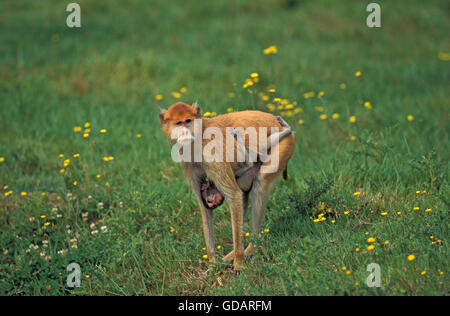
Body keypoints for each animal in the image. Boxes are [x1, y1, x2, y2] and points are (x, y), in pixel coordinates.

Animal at [159, 102, 296, 272]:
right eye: (178, 123)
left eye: (187, 121)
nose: (184, 132)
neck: (199, 137)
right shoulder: (187, 162)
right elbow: (205, 208)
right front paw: (213, 263)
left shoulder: (212, 155)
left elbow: (233, 195)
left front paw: (238, 263)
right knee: (245, 193)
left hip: (284, 147)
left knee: (260, 184)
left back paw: (250, 248)